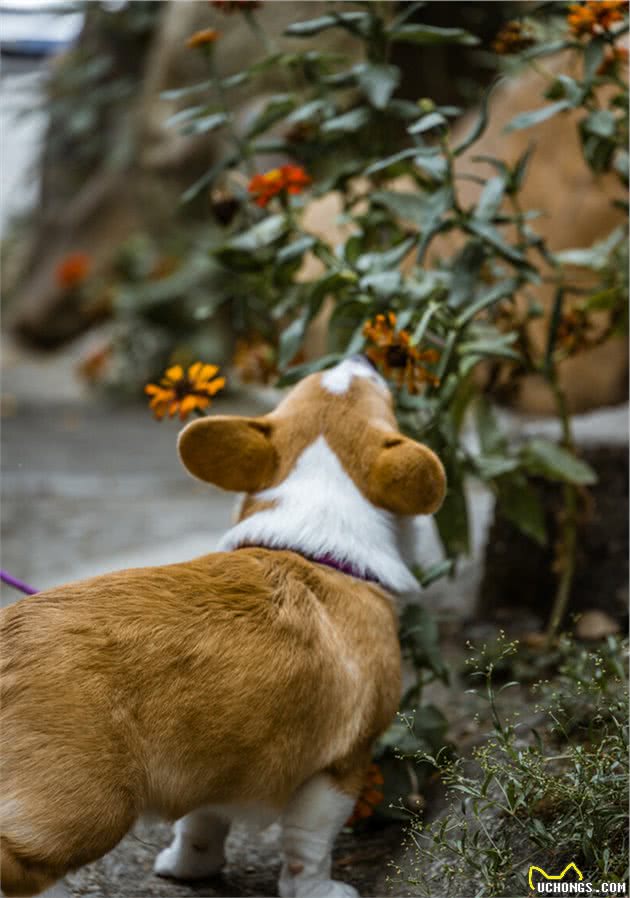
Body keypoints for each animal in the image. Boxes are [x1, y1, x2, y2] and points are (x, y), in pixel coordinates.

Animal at [0, 356, 446, 896]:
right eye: (379, 391)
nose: (358, 359)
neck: (311, 535)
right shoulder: (342, 766)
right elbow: (308, 845)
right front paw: (317, 890)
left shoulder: (217, 758)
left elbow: (201, 823)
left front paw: (189, 867)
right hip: (87, 807)